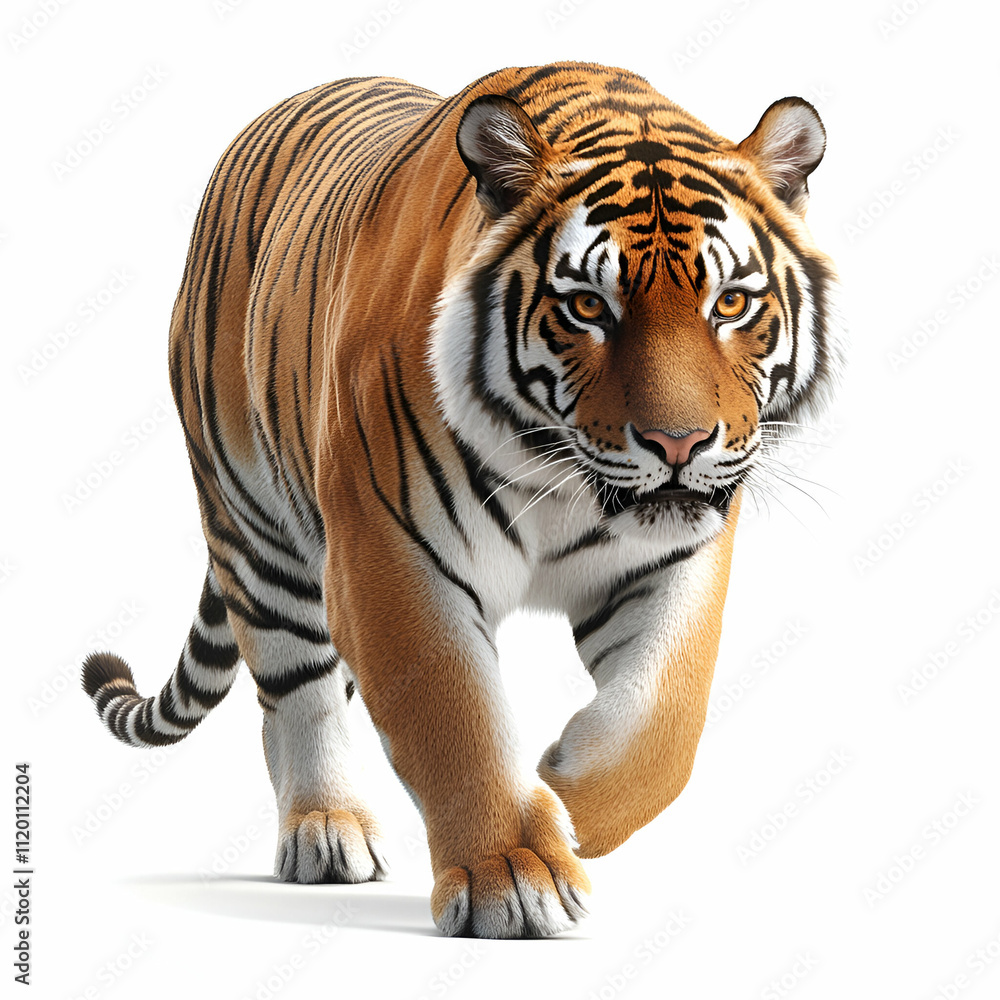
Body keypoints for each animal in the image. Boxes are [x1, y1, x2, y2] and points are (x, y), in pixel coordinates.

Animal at [82, 61, 844, 939]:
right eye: (589, 306)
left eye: (731, 305)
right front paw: (511, 874)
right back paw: (327, 829)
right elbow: (455, 722)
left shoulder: (677, 560)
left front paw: (563, 803)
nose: (678, 444)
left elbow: (662, 724)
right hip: (256, 524)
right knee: (297, 692)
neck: (562, 481)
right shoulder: (392, 558)